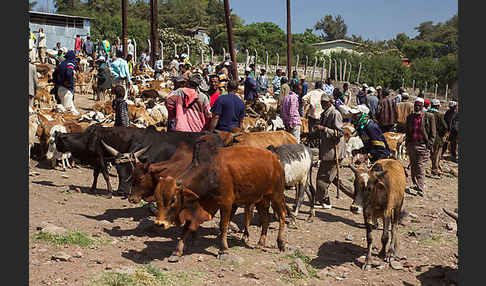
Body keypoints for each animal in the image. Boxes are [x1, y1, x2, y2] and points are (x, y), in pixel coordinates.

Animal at [54, 124, 218, 198]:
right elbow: (96, 174)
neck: (89, 139)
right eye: (119, 169)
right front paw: (94, 189)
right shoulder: (98, 159)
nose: (122, 191)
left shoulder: (100, 158)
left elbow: (105, 175)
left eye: (57, 141)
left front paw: (109, 192)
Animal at [154, 136, 286, 262]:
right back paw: (260, 243)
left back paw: (281, 244)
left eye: (173, 200)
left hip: (277, 195)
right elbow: (186, 227)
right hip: (261, 200)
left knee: (282, 216)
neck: (208, 172)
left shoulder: (226, 203)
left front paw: (223, 250)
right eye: (157, 199)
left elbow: (223, 226)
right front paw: (176, 252)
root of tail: (275, 158)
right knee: (265, 220)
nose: (159, 224)